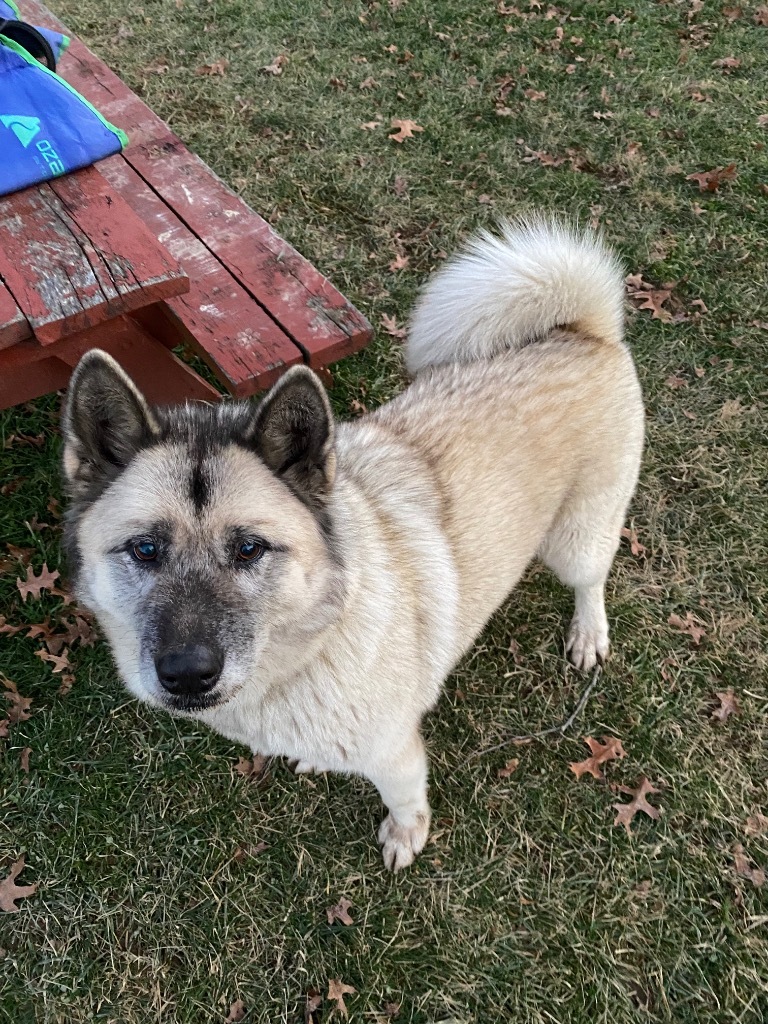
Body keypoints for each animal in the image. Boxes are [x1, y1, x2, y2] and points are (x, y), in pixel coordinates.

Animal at [63, 220, 647, 868]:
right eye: (144, 549)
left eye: (249, 549)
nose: (187, 675)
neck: (315, 639)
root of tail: (582, 331)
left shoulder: (394, 752)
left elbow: (405, 797)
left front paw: (406, 835)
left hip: (575, 540)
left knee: (591, 580)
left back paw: (588, 635)